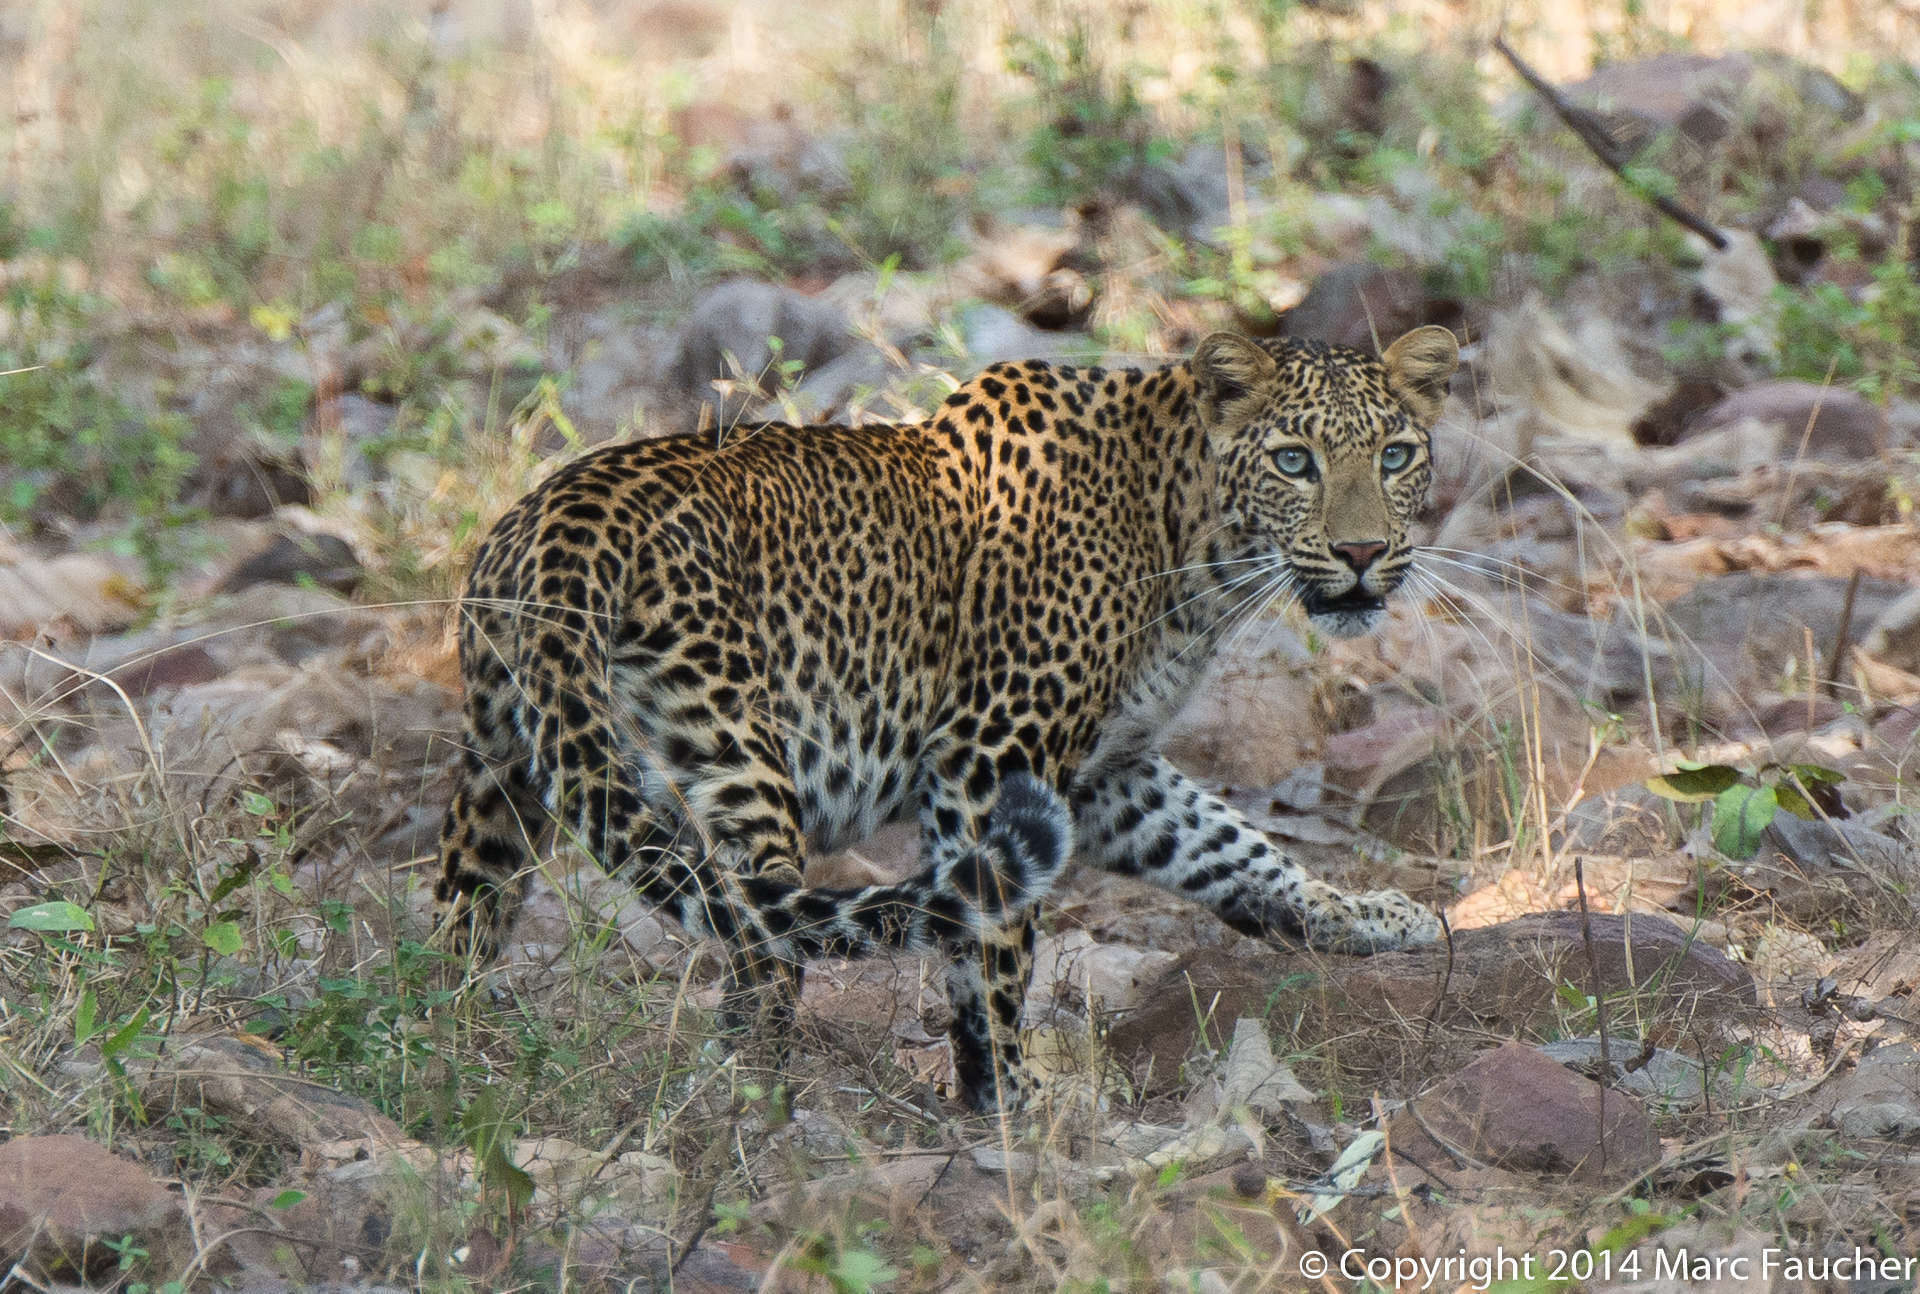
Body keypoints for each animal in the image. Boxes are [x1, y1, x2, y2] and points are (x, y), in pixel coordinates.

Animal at [435, 320, 1451, 1105]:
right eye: (1294, 462)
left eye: (1396, 456)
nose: (1363, 554)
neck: (1191, 543)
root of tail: (563, 518)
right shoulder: (989, 751)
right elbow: (997, 940)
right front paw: (1009, 1092)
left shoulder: (1107, 778)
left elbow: (1231, 847)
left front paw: (1368, 917)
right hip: (735, 741)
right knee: (762, 932)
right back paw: (749, 1094)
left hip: (507, 755)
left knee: (467, 906)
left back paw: (445, 1044)